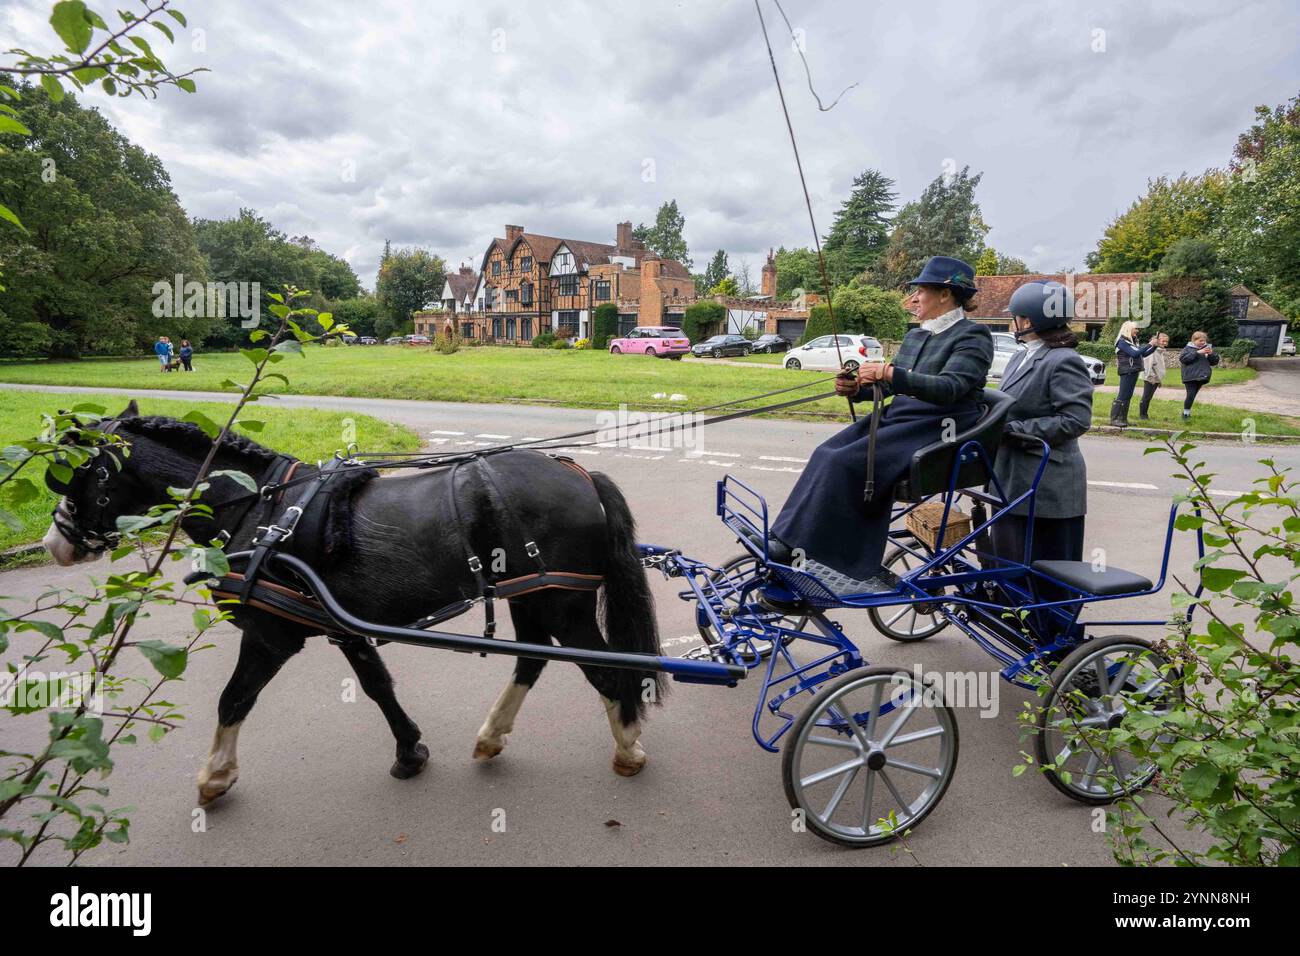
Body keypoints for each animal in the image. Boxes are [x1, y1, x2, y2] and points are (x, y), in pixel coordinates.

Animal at [45, 403, 665, 806]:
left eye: (74, 473)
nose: (55, 542)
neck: (259, 510)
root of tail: (579, 474)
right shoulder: (336, 622)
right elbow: (376, 685)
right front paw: (410, 751)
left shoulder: (271, 635)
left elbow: (233, 699)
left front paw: (215, 776)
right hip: (532, 597)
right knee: (534, 658)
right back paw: (493, 735)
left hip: (563, 602)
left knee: (606, 672)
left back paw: (629, 749)